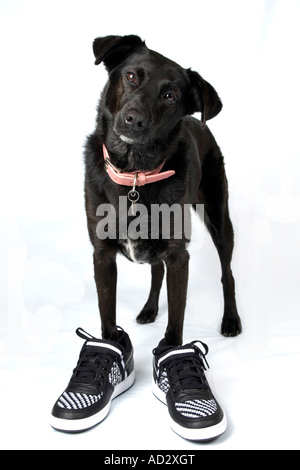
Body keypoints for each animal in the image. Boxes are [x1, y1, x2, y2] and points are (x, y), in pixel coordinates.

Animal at [84, 35, 241, 346]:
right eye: (131, 76)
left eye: (170, 96)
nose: (134, 119)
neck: (134, 174)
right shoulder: (102, 255)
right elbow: (107, 317)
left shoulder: (179, 256)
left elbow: (176, 322)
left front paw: (171, 351)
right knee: (157, 271)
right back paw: (149, 309)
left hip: (219, 217)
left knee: (226, 272)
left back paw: (230, 320)